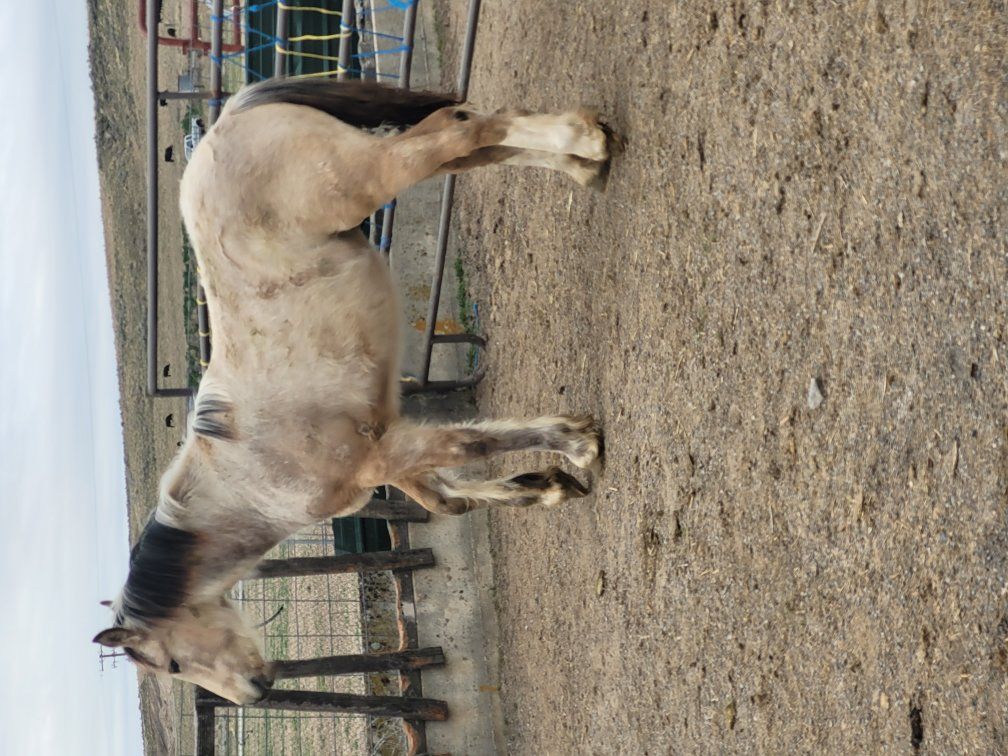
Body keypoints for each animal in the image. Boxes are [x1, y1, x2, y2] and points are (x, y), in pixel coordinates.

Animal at [94, 78, 613, 704]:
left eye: (171, 664)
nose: (256, 693)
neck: (250, 479)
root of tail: (227, 116)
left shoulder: (383, 452)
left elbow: (470, 446)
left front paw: (577, 444)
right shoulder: (387, 455)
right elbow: (448, 497)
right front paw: (544, 486)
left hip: (367, 177)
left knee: (459, 134)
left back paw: (584, 141)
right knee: (469, 139)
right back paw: (581, 162)